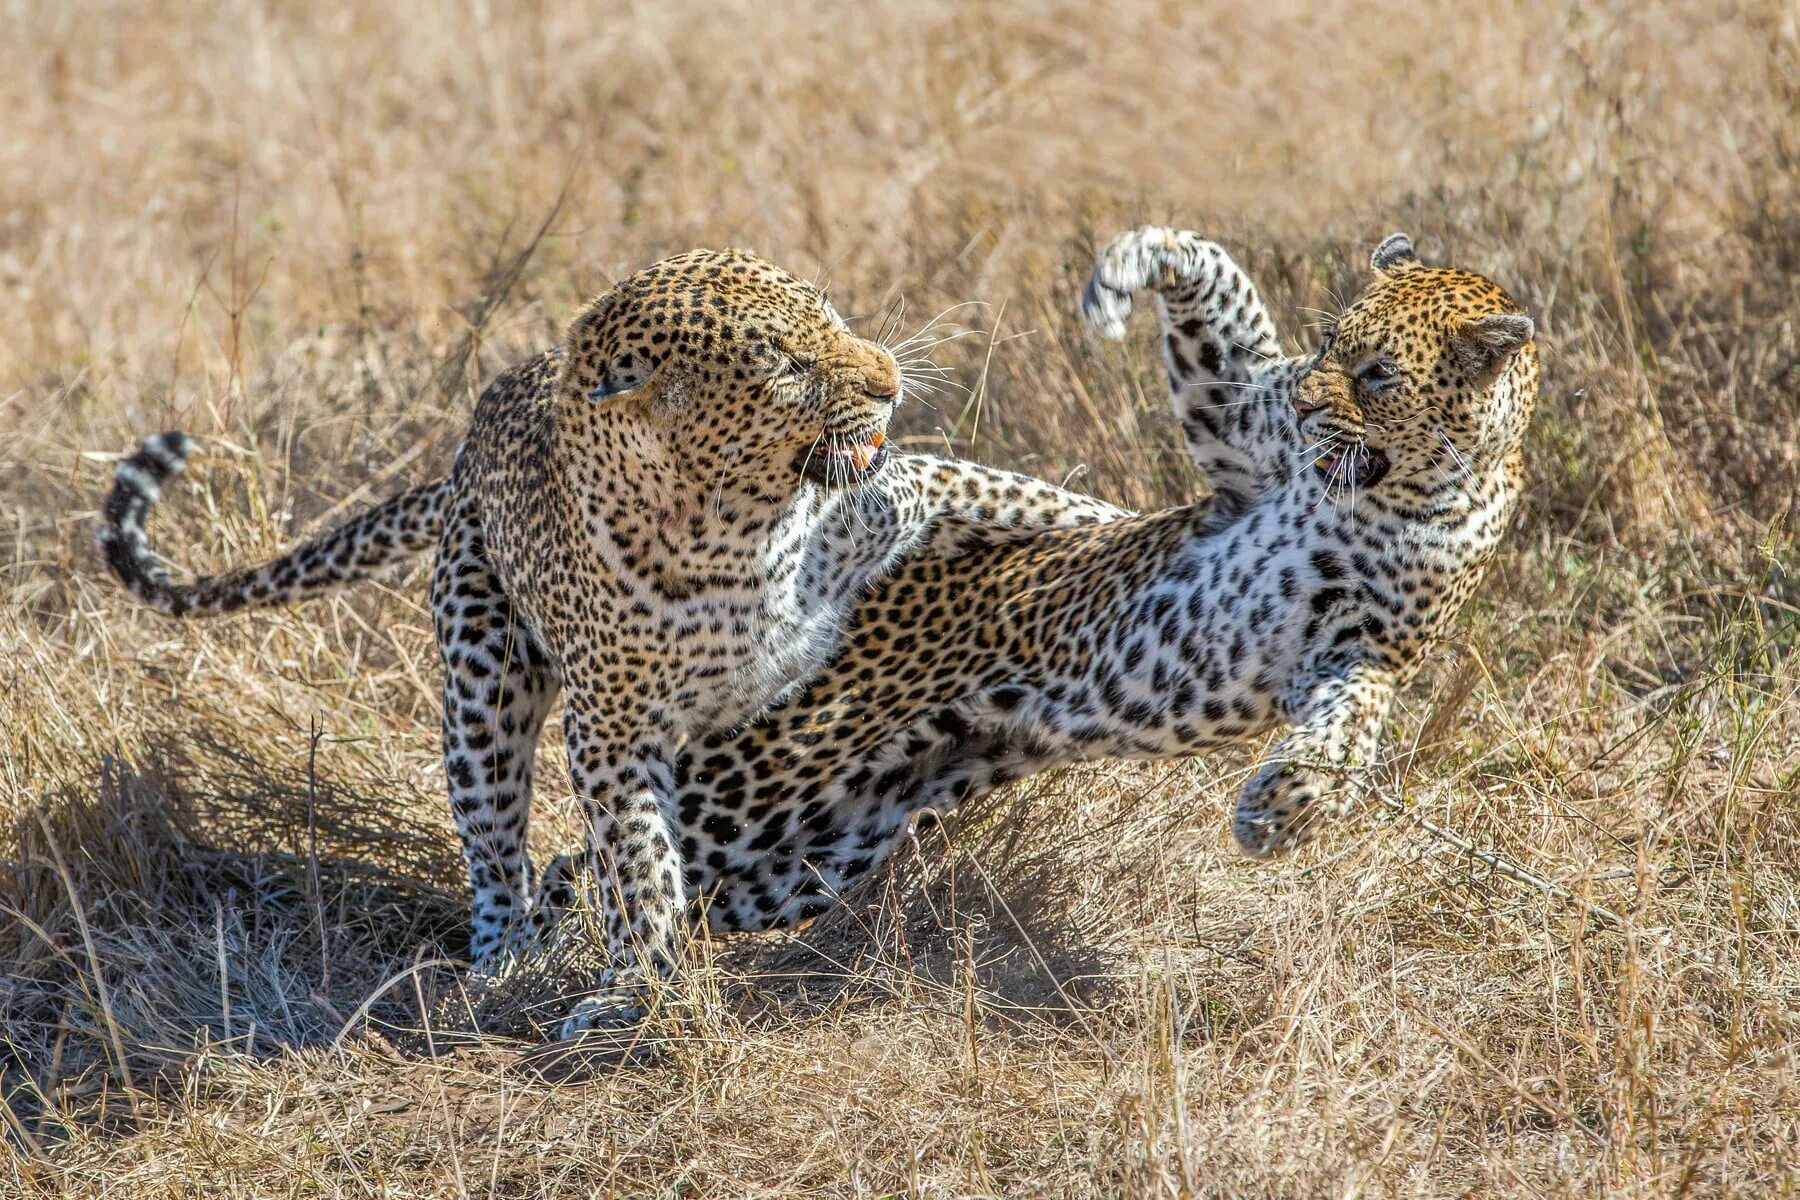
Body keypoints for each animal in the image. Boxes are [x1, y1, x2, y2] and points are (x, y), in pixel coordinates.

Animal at [98, 244, 1123, 1036]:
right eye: (787, 364)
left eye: (832, 315)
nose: (891, 380)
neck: (734, 528)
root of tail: (467, 445)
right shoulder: (610, 735)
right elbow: (638, 860)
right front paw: (643, 981)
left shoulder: (901, 493)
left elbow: (1033, 499)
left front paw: (1134, 532)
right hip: (482, 679)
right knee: (500, 848)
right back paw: (502, 963)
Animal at [518, 227, 1533, 949]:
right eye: (1329, 346)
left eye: (1380, 374)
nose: (1316, 402)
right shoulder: (1246, 445)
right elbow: (1225, 310)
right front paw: (1130, 267)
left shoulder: (1362, 649)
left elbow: (1348, 730)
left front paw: (1278, 811)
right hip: (749, 784)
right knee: (590, 863)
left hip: (814, 843)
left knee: (644, 884)